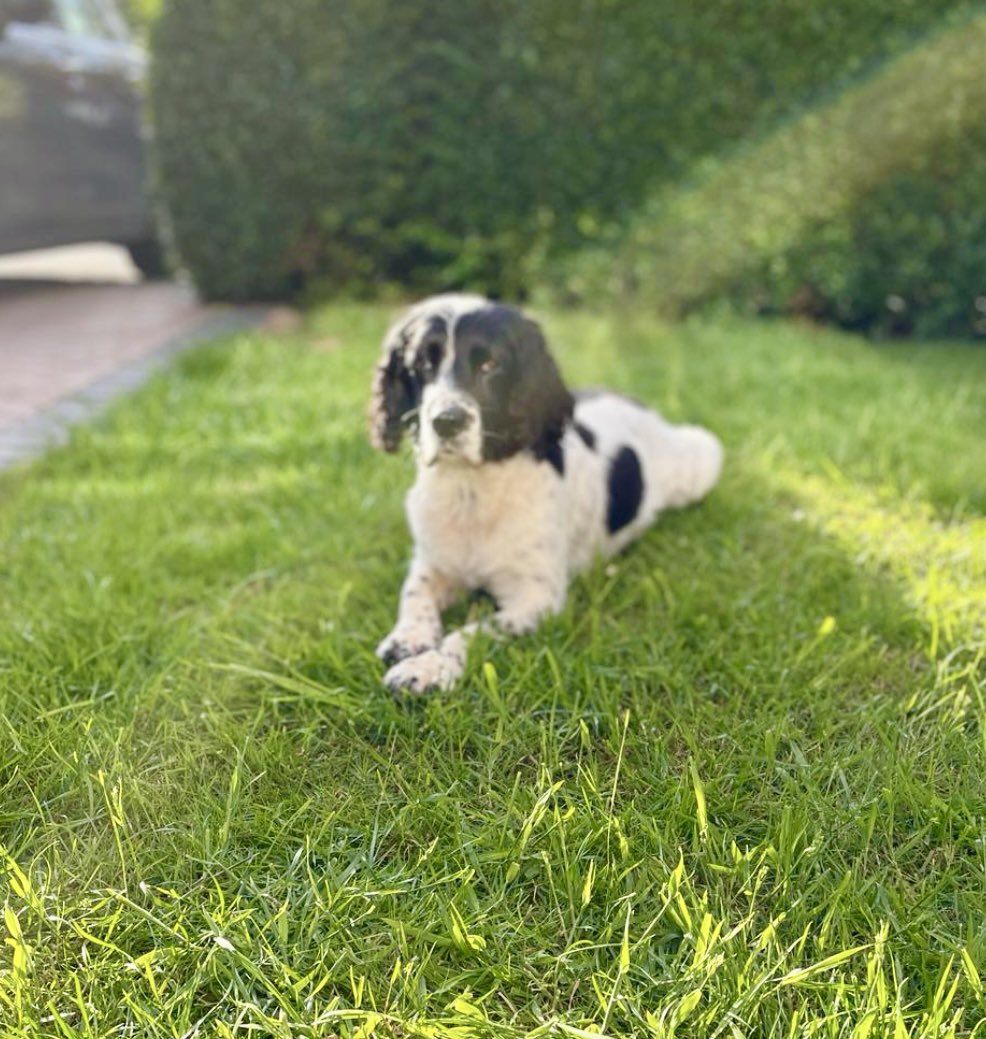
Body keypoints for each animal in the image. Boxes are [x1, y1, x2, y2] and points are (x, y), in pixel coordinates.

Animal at [369, 292, 723, 694]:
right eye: (421, 365)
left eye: (490, 364)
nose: (446, 421)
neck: (471, 490)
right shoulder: (432, 562)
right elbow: (414, 596)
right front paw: (408, 638)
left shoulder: (535, 599)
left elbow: (471, 632)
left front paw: (429, 667)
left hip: (703, 453)